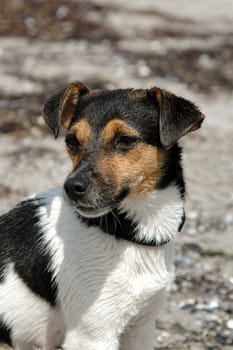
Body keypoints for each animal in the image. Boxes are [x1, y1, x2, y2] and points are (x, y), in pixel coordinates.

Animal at [0, 80, 204, 348]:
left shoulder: (141, 327)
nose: (72, 188)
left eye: (125, 140)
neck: (127, 233)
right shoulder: (93, 335)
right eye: (72, 141)